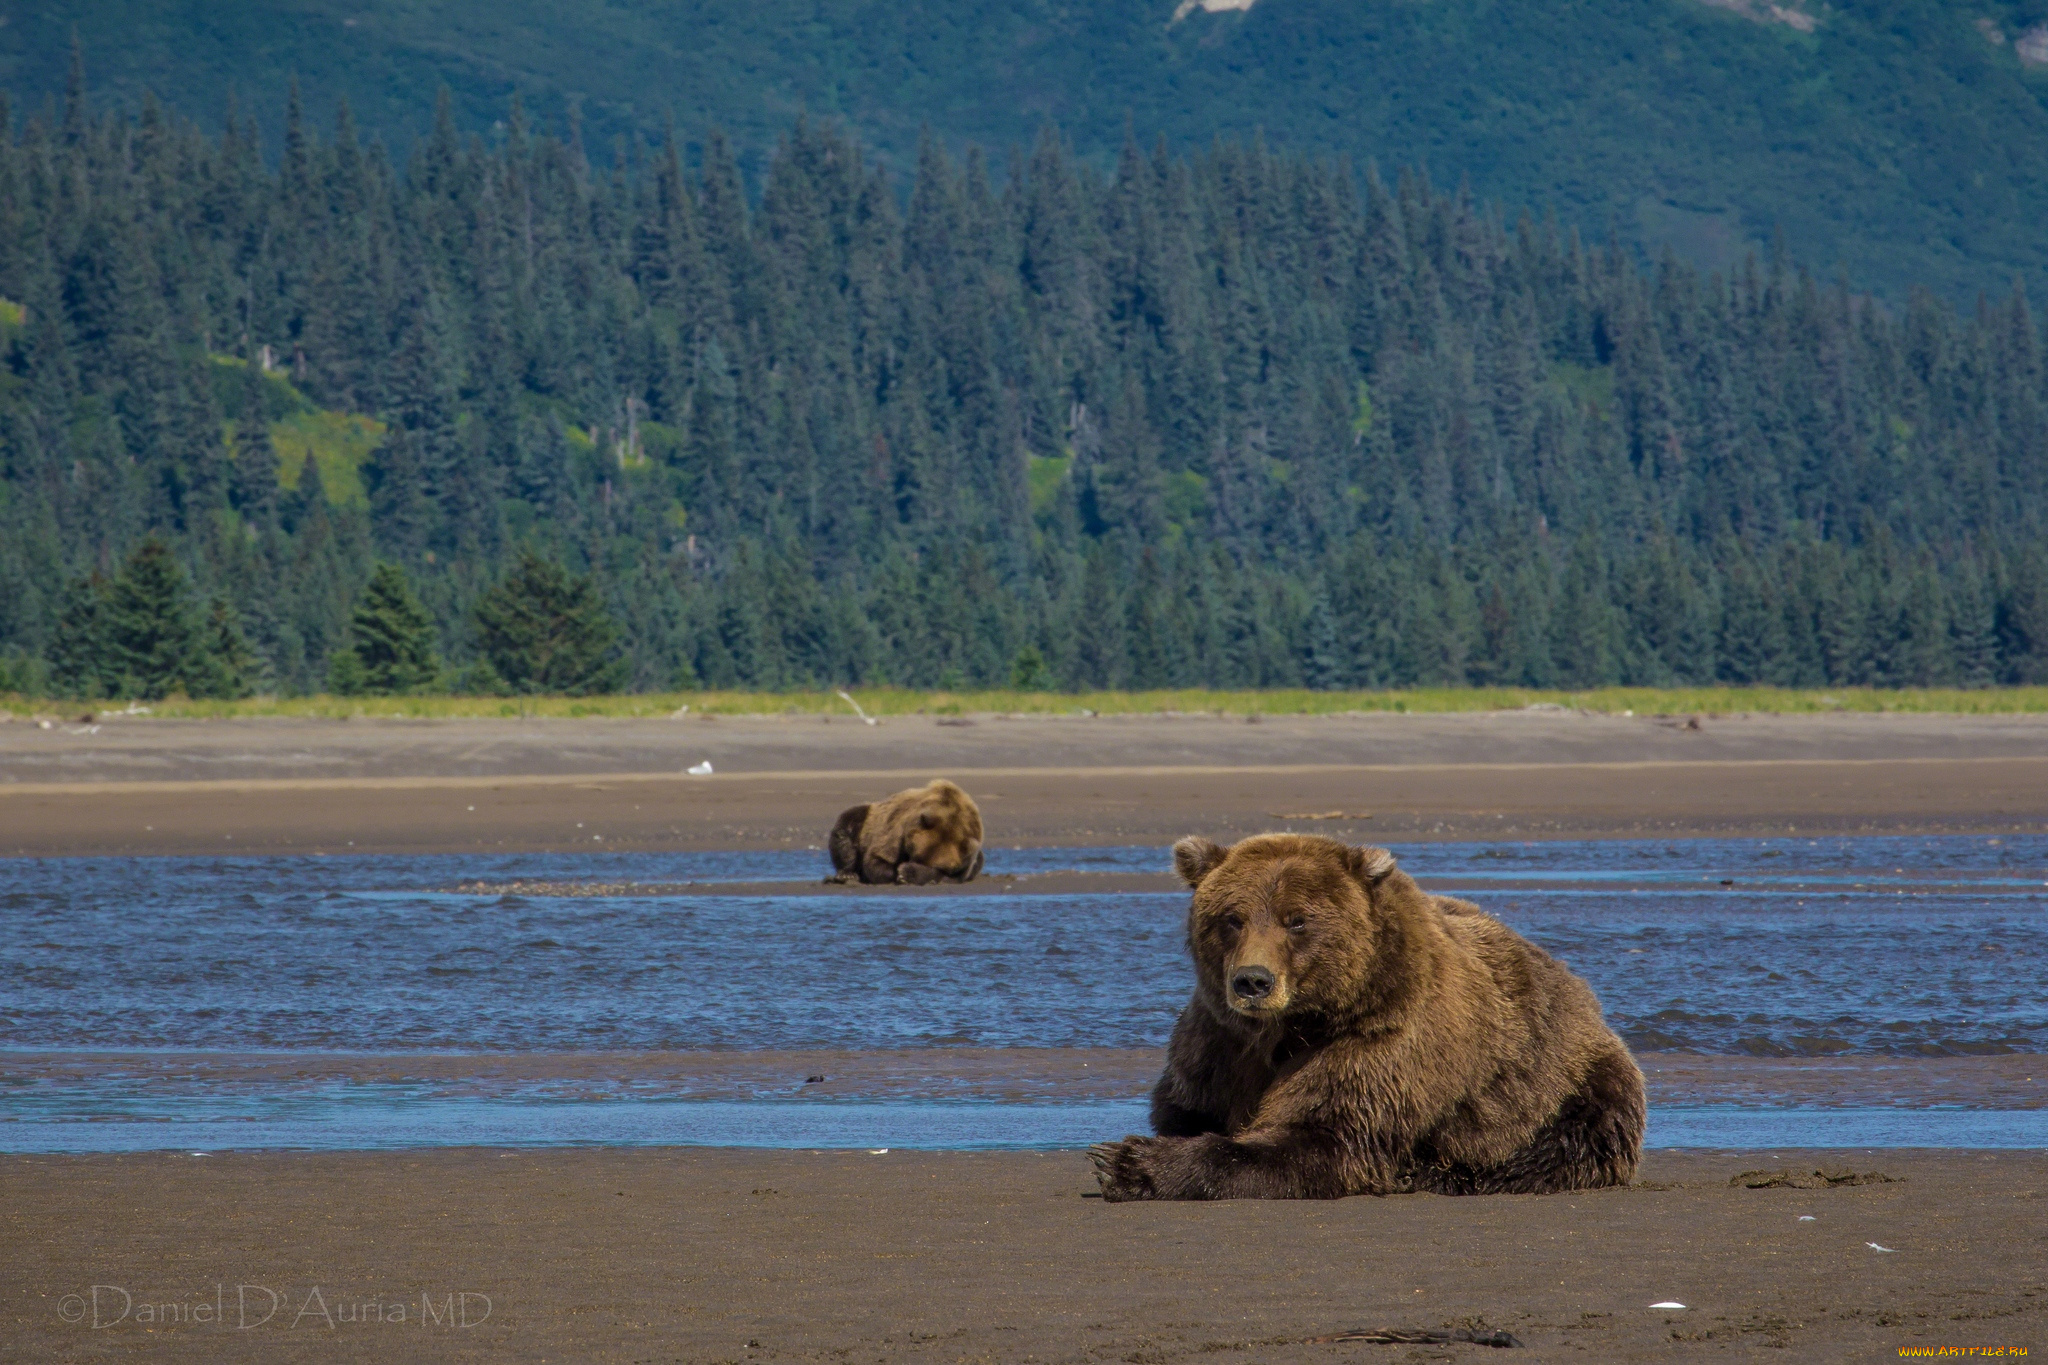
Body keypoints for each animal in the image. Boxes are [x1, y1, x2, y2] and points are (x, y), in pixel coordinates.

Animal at [823, 777, 983, 888]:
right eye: (913, 851)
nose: (908, 862)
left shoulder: (966, 859)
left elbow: (947, 876)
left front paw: (906, 873)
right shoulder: (897, 829)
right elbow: (876, 860)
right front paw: (900, 872)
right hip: (865, 818)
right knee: (846, 827)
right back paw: (847, 874)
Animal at [1089, 839, 1646, 1203]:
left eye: (1297, 920)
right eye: (1232, 918)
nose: (1252, 981)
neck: (1289, 1027)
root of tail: (1580, 988)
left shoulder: (1382, 1041)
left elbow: (1324, 1136)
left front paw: (1129, 1161)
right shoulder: (1215, 1043)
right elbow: (1186, 1109)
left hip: (1566, 1082)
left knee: (1560, 1143)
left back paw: (1437, 1174)